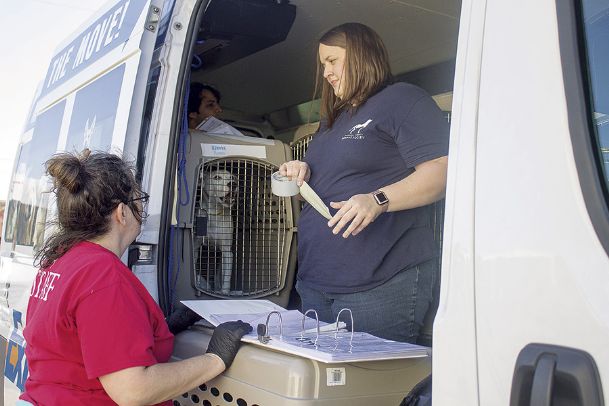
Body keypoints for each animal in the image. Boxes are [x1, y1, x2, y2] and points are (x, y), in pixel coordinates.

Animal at [195, 160, 288, 296]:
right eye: (216, 177)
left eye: (232, 178)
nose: (233, 184)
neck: (214, 214)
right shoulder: (197, 247)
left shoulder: (227, 253)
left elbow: (226, 279)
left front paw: (225, 293)